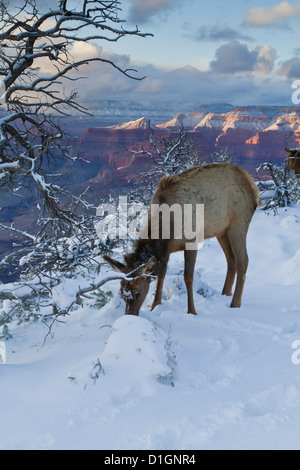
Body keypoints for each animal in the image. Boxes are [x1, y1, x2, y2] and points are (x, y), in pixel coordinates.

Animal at [103, 164, 258, 316]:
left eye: (137, 293)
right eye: (122, 293)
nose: (130, 314)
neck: (168, 230)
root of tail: (252, 186)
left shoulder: (192, 241)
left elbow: (188, 277)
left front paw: (192, 311)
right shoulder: (165, 251)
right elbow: (161, 274)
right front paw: (155, 305)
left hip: (238, 223)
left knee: (243, 260)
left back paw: (235, 303)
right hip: (221, 231)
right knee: (231, 260)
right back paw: (225, 294)